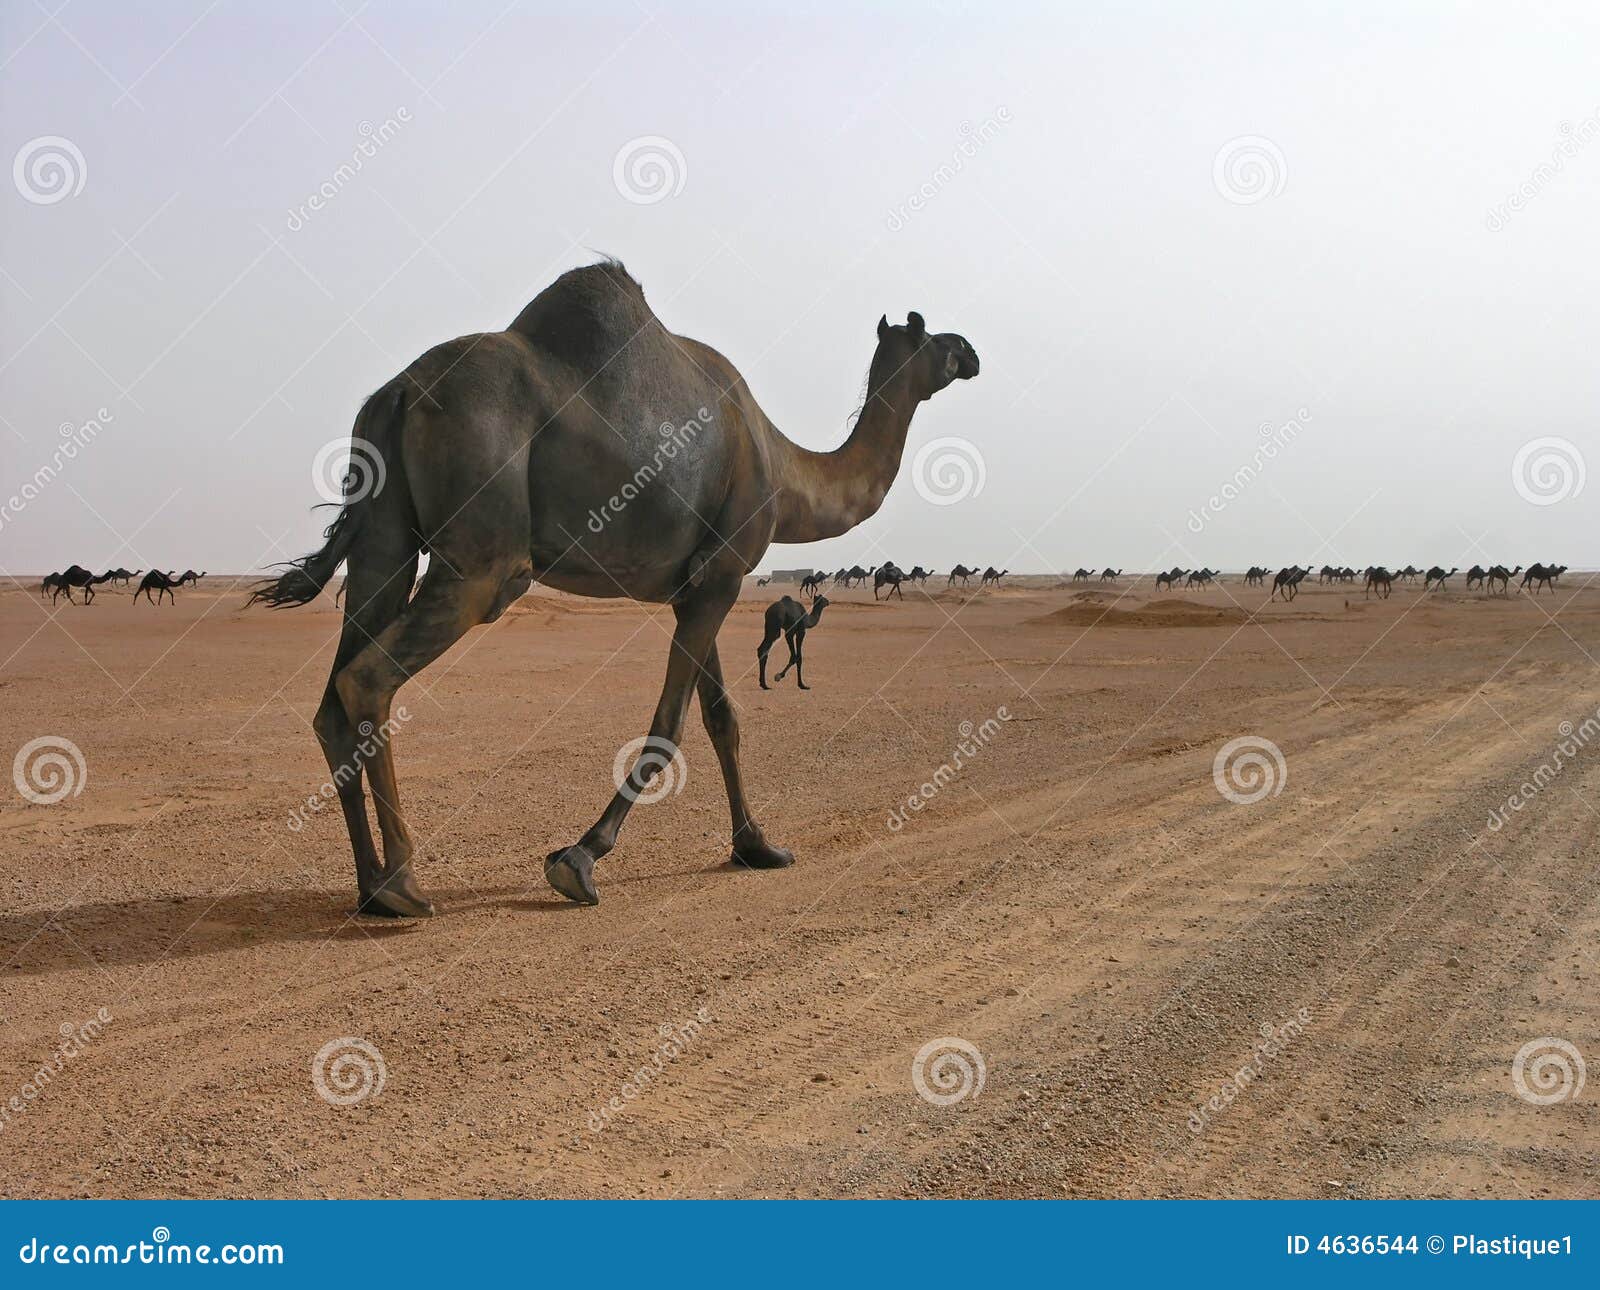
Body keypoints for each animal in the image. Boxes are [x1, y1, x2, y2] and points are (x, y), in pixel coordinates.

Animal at [249, 260, 972, 921]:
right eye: (939, 340)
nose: (973, 354)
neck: (782, 468)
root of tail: (396, 394)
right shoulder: (723, 574)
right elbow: (669, 723)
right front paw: (578, 859)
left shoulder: (700, 584)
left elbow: (722, 717)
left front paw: (758, 847)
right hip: (484, 558)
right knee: (370, 676)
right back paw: (403, 883)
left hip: (383, 538)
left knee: (335, 693)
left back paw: (370, 886)